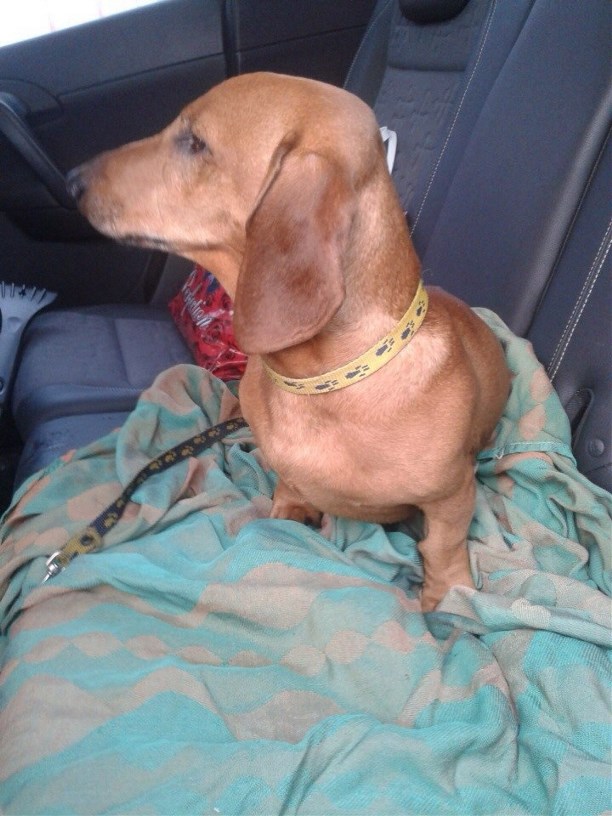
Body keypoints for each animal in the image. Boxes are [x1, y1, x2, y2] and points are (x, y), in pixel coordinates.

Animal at [67, 72, 510, 611]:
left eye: (195, 143)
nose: (72, 179)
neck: (322, 383)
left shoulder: (451, 494)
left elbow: (442, 545)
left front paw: (448, 595)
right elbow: (290, 494)